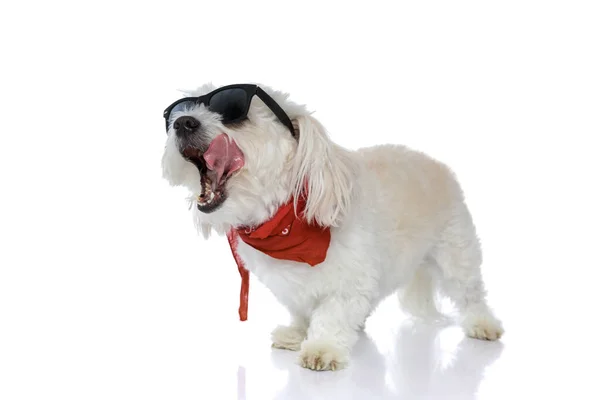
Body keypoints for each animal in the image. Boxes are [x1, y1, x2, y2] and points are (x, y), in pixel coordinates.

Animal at [159, 82, 502, 372]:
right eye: (181, 111)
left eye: (233, 115)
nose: (183, 122)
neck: (284, 219)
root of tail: (437, 164)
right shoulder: (290, 286)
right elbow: (301, 310)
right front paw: (297, 333)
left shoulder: (350, 281)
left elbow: (333, 314)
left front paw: (322, 347)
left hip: (456, 253)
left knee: (471, 293)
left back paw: (483, 323)